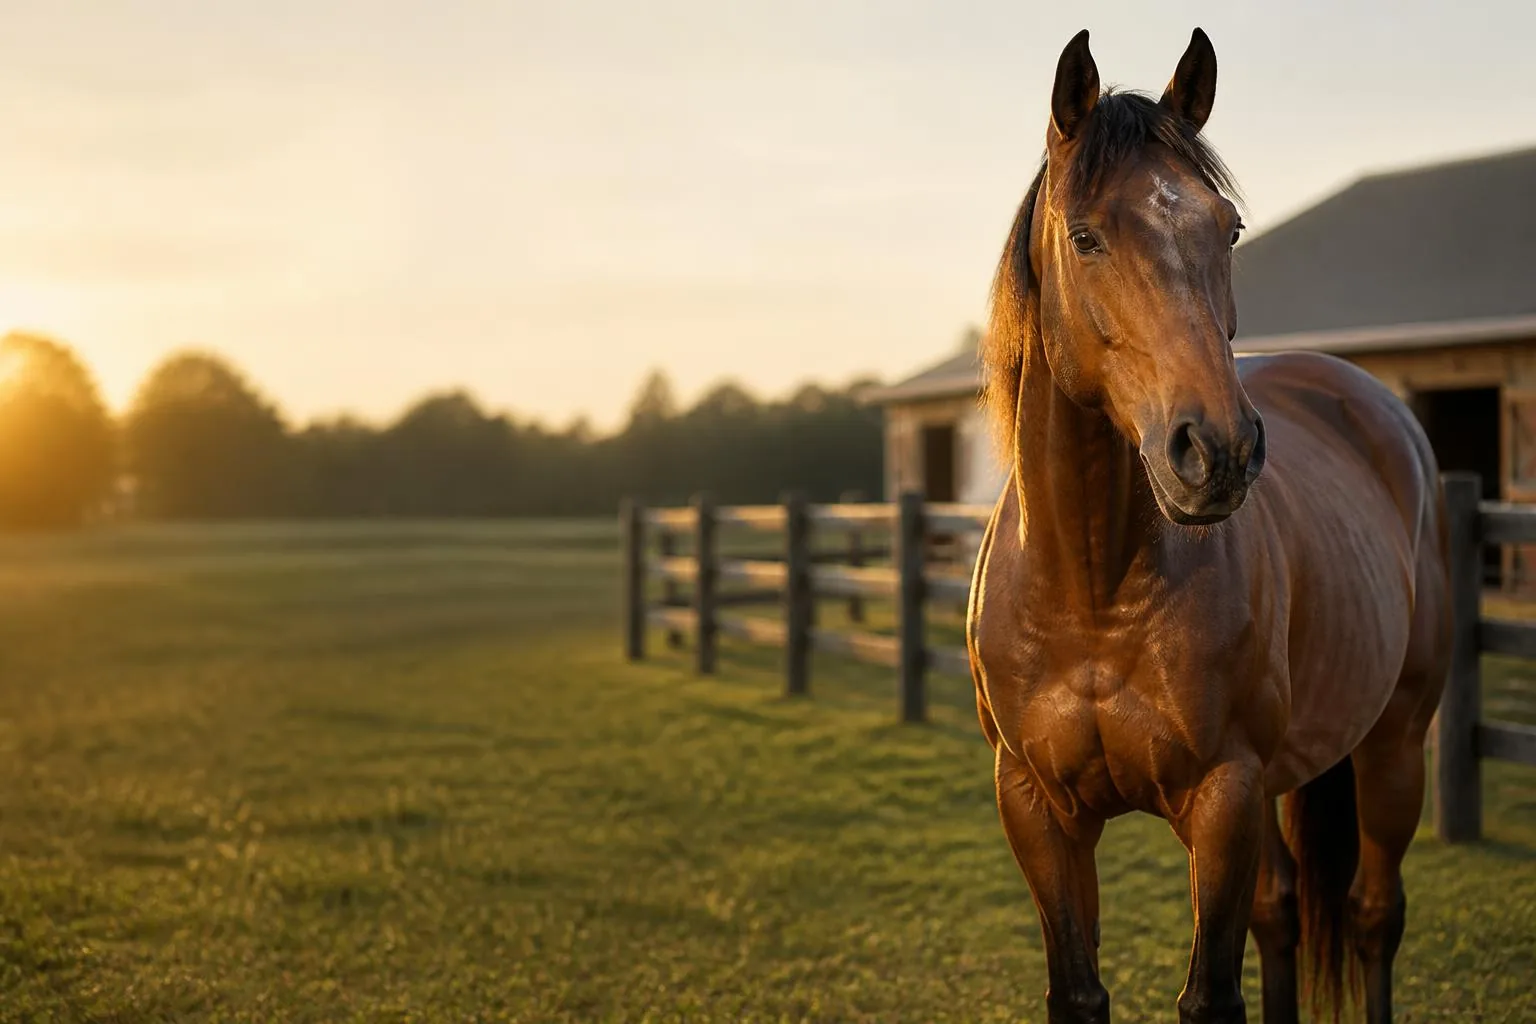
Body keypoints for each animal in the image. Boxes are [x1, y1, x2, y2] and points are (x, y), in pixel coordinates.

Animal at [965, 28, 1450, 1024]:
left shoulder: (1224, 799)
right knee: (1283, 916)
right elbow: (1081, 990)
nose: (1217, 450)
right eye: (1085, 235)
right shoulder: (1035, 807)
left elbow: (1211, 998)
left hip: (1392, 748)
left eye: (1225, 228)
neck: (1092, 588)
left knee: (1373, 916)